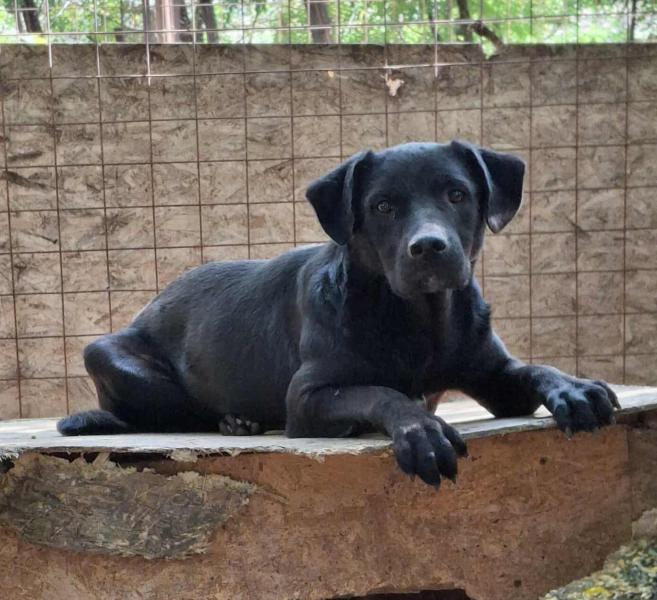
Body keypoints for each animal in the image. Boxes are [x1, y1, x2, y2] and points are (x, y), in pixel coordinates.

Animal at [57, 141, 619, 488]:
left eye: (457, 194)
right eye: (383, 206)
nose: (429, 247)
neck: (417, 322)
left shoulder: (496, 377)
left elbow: (534, 369)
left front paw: (574, 388)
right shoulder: (308, 397)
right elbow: (381, 392)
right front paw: (421, 431)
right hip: (108, 353)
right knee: (178, 414)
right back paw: (237, 421)